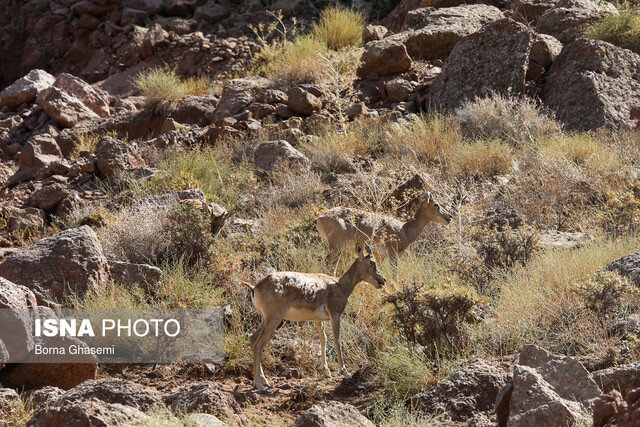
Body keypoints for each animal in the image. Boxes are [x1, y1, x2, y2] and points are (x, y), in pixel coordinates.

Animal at [244, 244, 384, 392]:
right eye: (372, 262)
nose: (383, 280)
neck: (340, 285)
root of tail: (255, 287)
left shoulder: (318, 321)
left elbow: (323, 339)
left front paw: (326, 371)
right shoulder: (335, 315)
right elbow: (337, 341)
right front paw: (346, 373)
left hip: (265, 319)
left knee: (252, 339)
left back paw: (264, 381)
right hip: (273, 319)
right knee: (259, 344)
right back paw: (259, 385)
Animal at [316, 193, 450, 268]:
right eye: (436, 204)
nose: (449, 216)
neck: (405, 230)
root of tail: (319, 218)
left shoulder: (379, 256)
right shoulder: (393, 254)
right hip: (336, 246)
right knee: (327, 261)